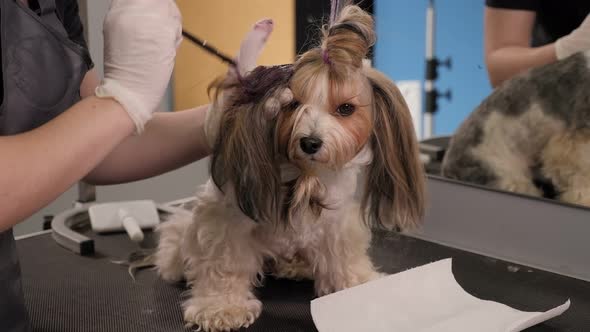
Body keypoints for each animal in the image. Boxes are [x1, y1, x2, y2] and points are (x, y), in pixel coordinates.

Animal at [155, 3, 428, 330]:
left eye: (345, 108)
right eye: (292, 104)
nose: (310, 142)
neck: (303, 176)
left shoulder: (337, 221)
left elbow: (345, 255)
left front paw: (357, 283)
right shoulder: (225, 220)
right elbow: (224, 263)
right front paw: (220, 307)